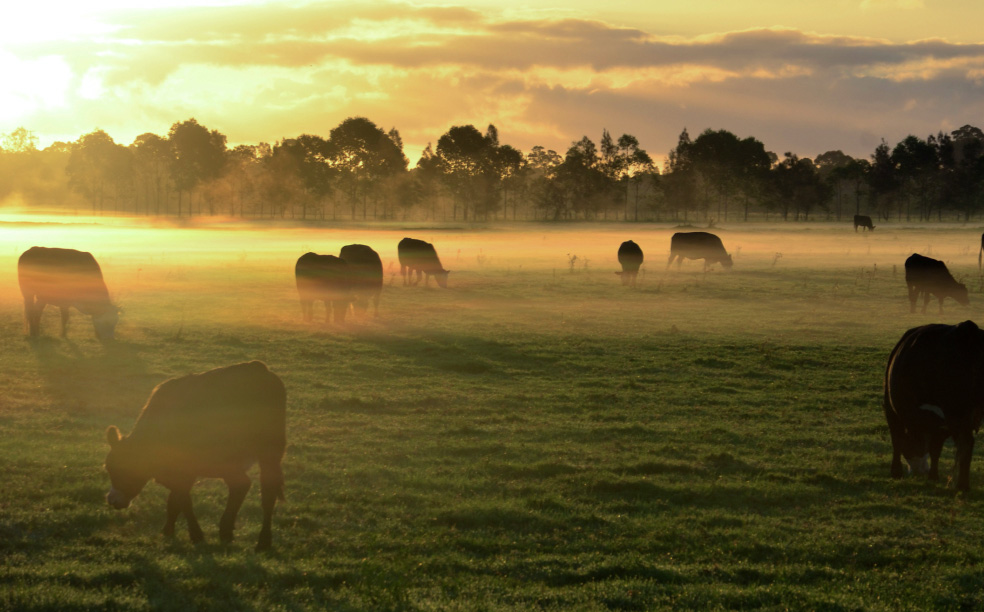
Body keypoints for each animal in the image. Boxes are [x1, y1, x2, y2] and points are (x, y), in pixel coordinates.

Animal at [104, 360, 288, 552]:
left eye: (119, 470)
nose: (111, 499)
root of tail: (256, 367)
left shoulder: (183, 469)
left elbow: (183, 499)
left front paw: (195, 535)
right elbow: (174, 500)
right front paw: (168, 530)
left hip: (235, 457)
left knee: (249, 487)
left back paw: (248, 537)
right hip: (266, 453)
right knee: (262, 488)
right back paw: (248, 537)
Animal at [884, 320, 984, 492]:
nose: (919, 471)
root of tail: (966, 330)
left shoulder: (891, 410)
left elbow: (897, 440)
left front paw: (896, 472)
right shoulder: (940, 426)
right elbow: (935, 449)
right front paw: (933, 476)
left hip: (956, 412)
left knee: (966, 443)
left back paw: (962, 486)